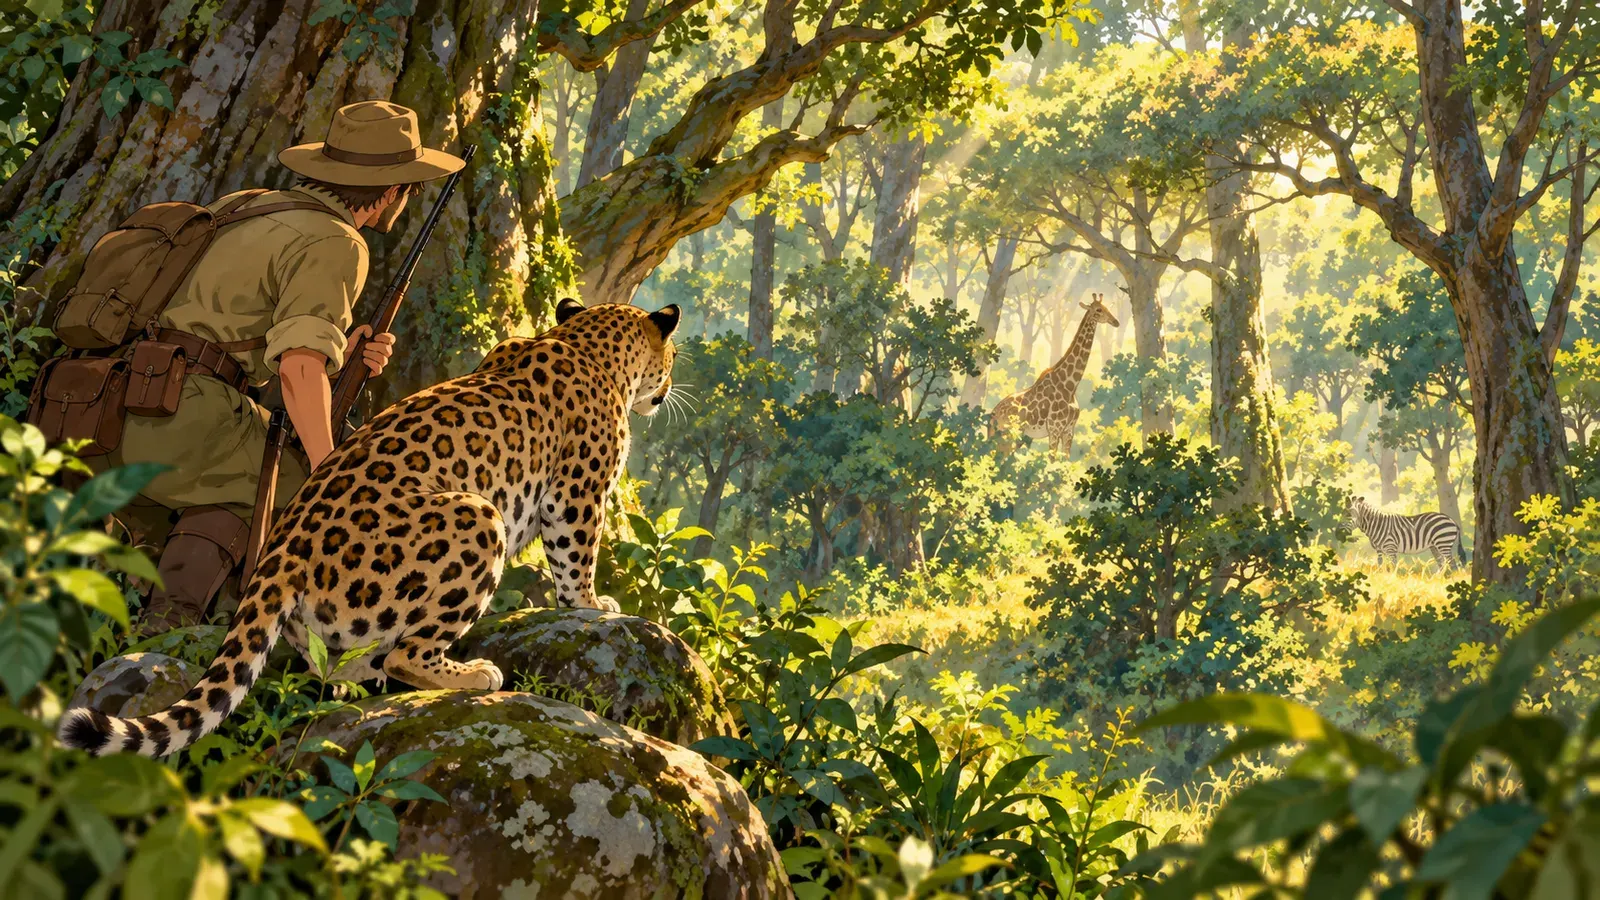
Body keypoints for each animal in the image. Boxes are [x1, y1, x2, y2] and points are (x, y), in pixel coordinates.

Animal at [60, 299, 681, 757]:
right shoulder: (578, 492)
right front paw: (593, 604)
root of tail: (281, 554)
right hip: (479, 515)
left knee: (334, 661)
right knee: (410, 654)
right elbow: (576, 556)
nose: (668, 389)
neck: (585, 341)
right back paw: (473, 674)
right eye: (672, 358)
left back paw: (354, 682)